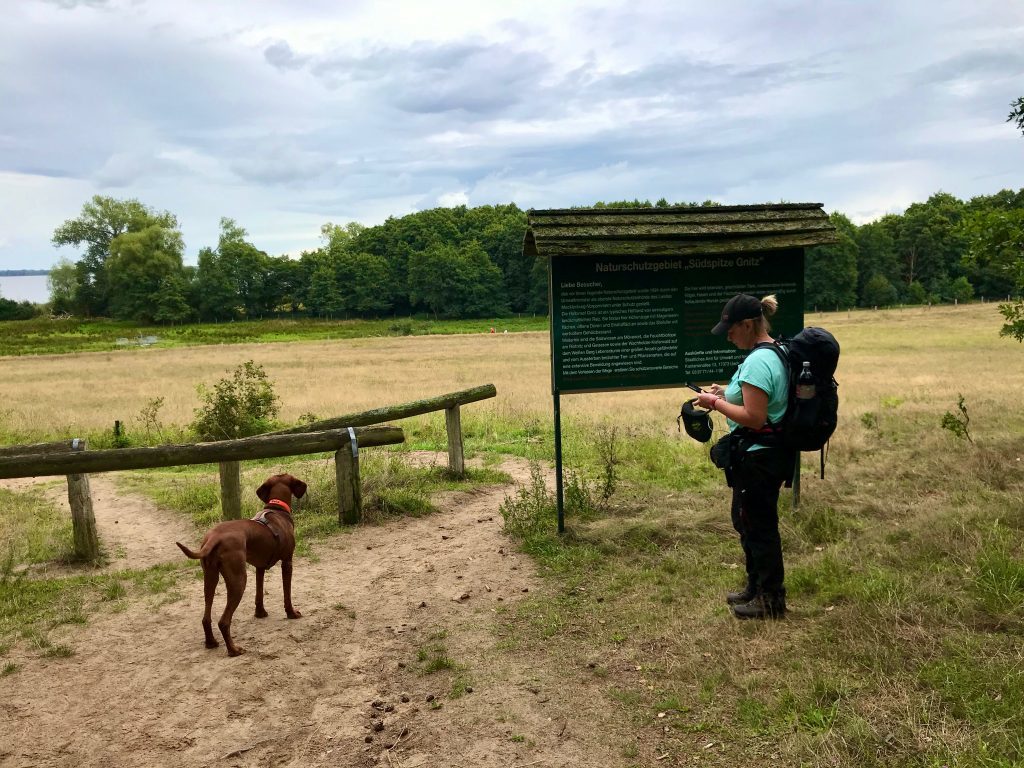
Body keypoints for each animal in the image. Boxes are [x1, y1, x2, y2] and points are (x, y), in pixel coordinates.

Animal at [176, 475, 305, 655]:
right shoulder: (287, 562)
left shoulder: (259, 567)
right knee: (223, 621)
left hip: (210, 578)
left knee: (206, 617)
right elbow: (287, 594)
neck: (276, 508)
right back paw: (234, 650)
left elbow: (259, 593)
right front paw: (291, 613)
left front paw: (260, 613)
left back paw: (211, 642)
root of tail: (214, 537)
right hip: (239, 580)